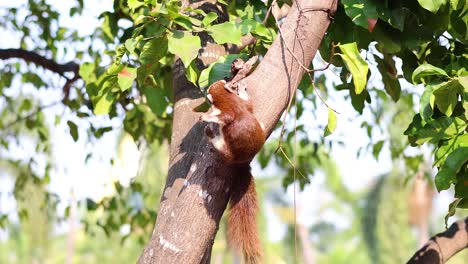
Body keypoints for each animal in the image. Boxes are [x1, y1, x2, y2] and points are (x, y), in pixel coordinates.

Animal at [200, 79, 266, 262]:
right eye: (223, 81)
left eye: (210, 90)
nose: (226, 79)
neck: (228, 99)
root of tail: (242, 163)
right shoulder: (245, 105)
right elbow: (249, 103)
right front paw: (242, 89)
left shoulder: (230, 111)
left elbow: (225, 117)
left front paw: (206, 116)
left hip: (227, 149)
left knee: (220, 146)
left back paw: (211, 134)